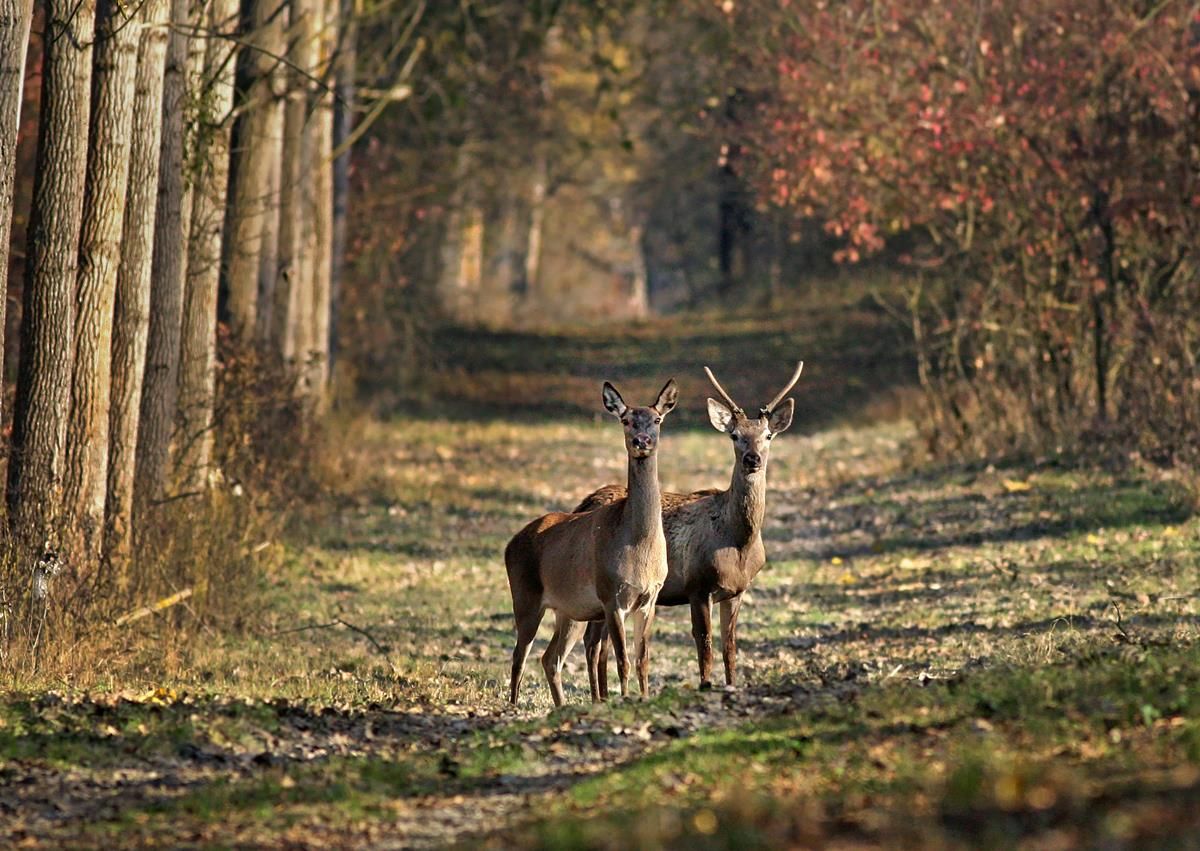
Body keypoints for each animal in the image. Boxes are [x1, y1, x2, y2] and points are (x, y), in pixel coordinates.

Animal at [504, 379, 678, 707]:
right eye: (626, 420)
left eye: (658, 419)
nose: (642, 441)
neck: (640, 548)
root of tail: (510, 544)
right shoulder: (611, 596)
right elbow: (622, 661)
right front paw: (624, 699)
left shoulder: (650, 598)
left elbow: (642, 660)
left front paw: (644, 698)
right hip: (525, 596)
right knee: (519, 655)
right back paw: (513, 707)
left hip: (570, 610)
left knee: (550, 658)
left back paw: (561, 706)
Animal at [577, 362, 802, 695]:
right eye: (734, 435)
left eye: (769, 435)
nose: (753, 459)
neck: (738, 544)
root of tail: (584, 502)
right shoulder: (697, 585)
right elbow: (705, 646)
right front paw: (706, 686)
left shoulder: (736, 591)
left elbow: (730, 649)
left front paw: (731, 686)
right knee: (593, 643)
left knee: (597, 643)